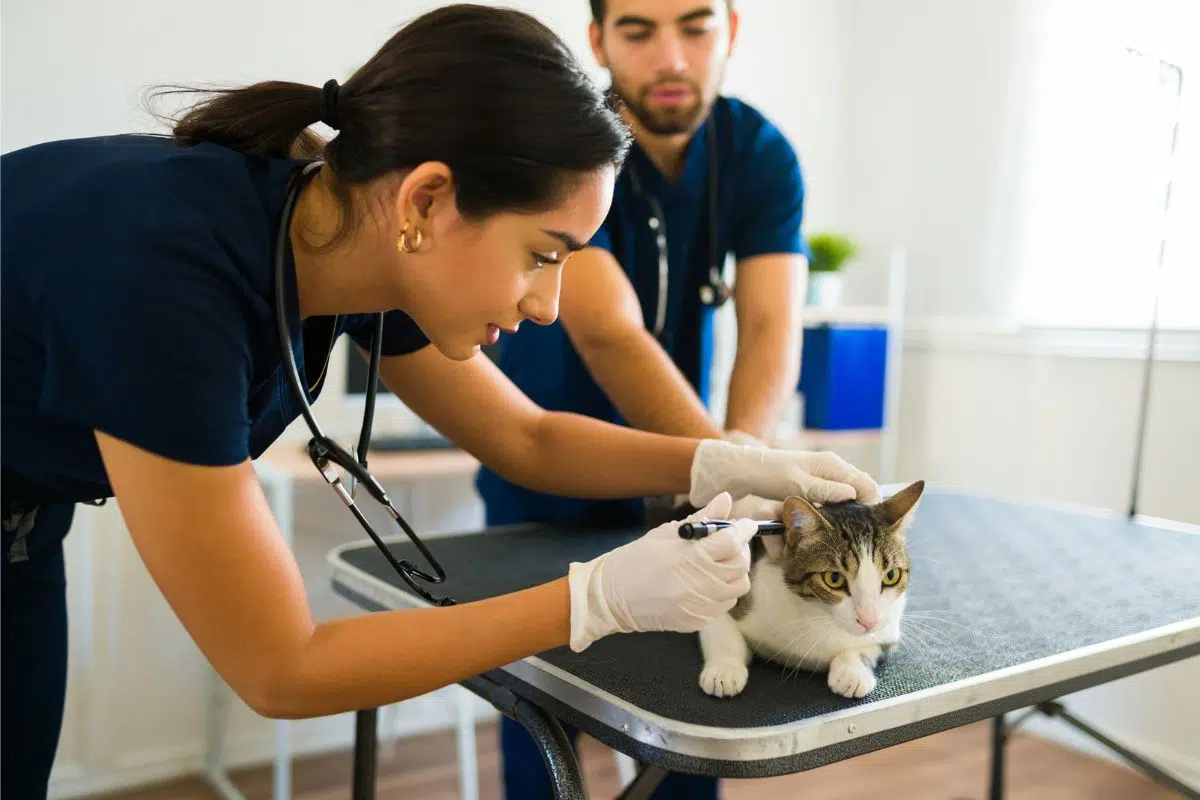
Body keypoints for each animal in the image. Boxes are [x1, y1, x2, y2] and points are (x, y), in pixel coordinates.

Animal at [700, 482, 921, 700]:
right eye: (834, 579)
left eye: (891, 575)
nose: (869, 621)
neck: (819, 616)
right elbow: (718, 620)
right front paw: (724, 668)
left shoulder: (890, 627)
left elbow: (870, 645)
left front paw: (852, 670)